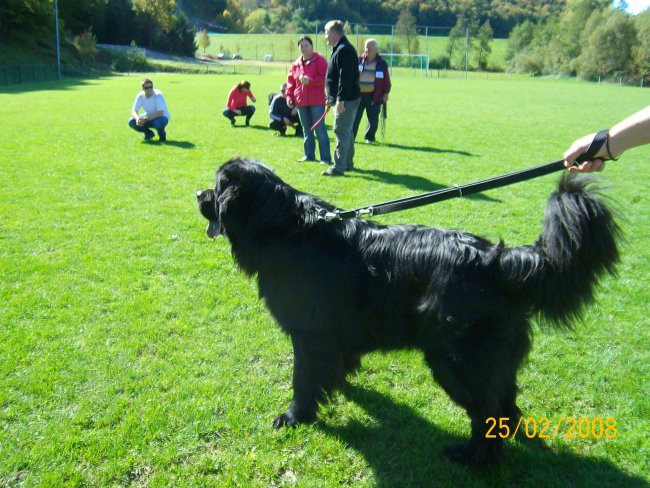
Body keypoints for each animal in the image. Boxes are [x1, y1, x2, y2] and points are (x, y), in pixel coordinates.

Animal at [196, 158, 616, 468]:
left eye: (216, 186)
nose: (198, 193)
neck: (287, 229)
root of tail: (500, 259)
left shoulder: (309, 335)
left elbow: (303, 380)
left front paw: (295, 417)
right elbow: (334, 367)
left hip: (457, 359)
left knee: (487, 413)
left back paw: (472, 458)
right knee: (506, 407)